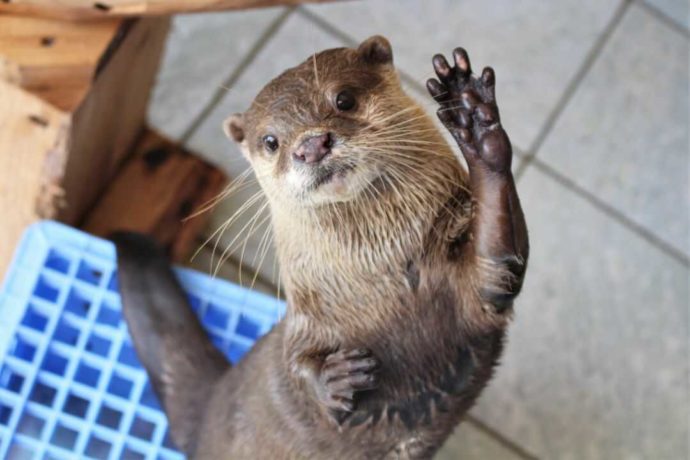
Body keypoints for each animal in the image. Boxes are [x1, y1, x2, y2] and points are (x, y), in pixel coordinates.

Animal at [114, 34, 528, 458]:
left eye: (344, 99)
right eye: (270, 141)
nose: (311, 145)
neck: (383, 276)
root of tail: (213, 401)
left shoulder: (474, 287)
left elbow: (501, 262)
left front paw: (475, 121)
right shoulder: (307, 318)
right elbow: (294, 360)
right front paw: (332, 378)